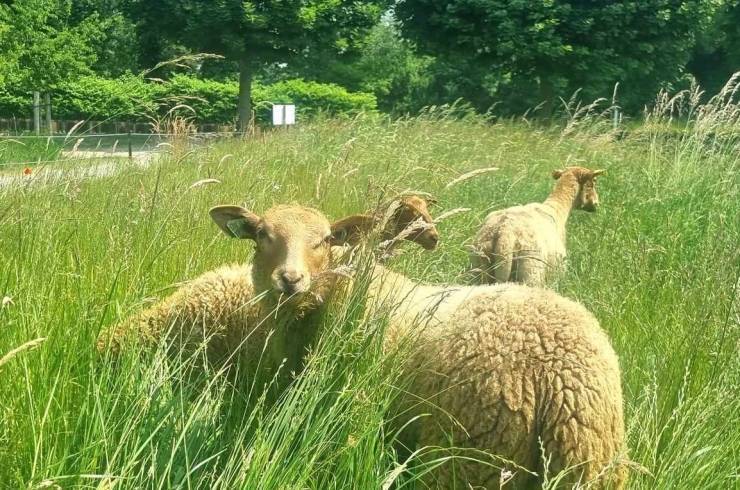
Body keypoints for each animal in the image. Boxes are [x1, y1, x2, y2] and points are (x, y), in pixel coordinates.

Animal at [470, 166, 604, 287]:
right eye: (593, 182)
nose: (596, 203)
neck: (557, 209)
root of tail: (504, 233)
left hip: (479, 268)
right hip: (531, 271)